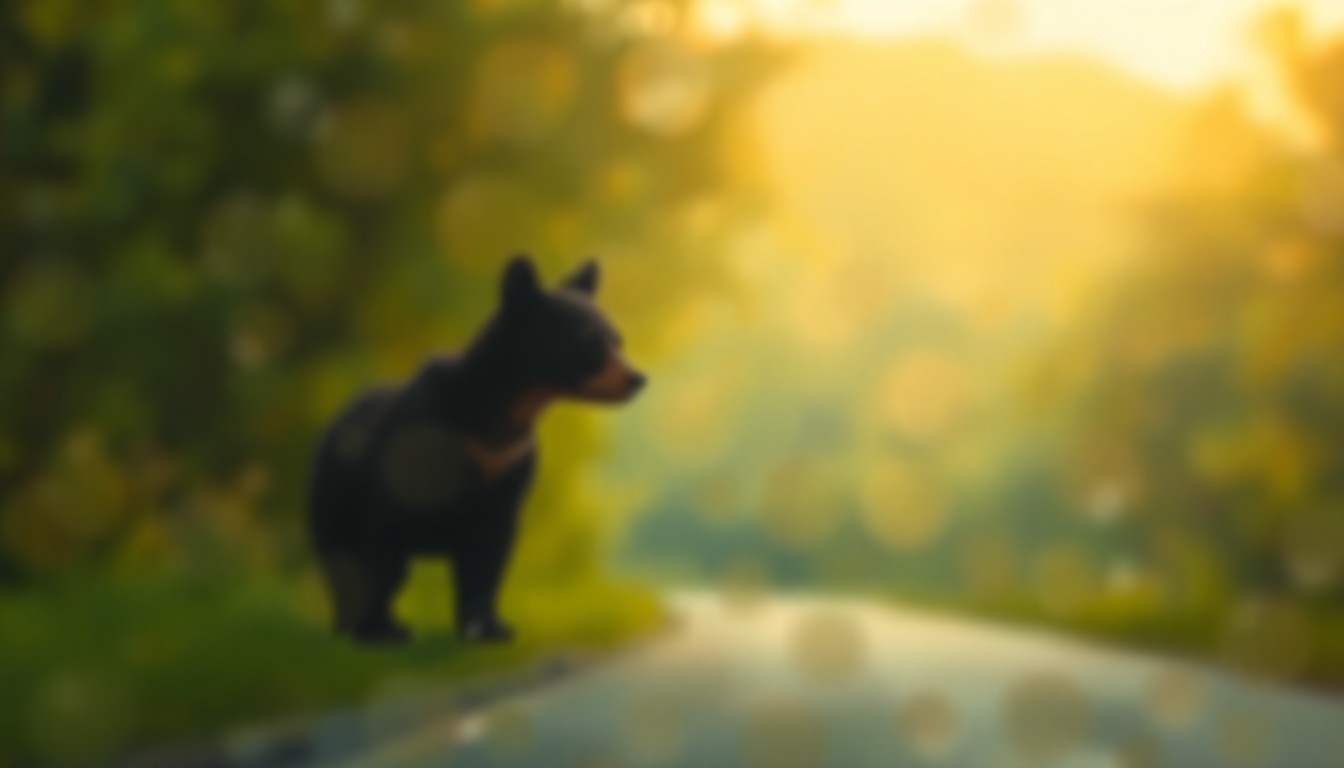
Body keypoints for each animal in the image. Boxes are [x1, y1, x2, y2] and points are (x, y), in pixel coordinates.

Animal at [307, 255, 646, 644]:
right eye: (589, 342)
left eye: (618, 340)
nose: (637, 379)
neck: (505, 410)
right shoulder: (418, 445)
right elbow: (384, 539)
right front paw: (377, 628)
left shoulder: (510, 465)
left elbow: (489, 554)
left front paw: (489, 626)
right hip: (331, 494)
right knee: (343, 559)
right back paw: (358, 623)